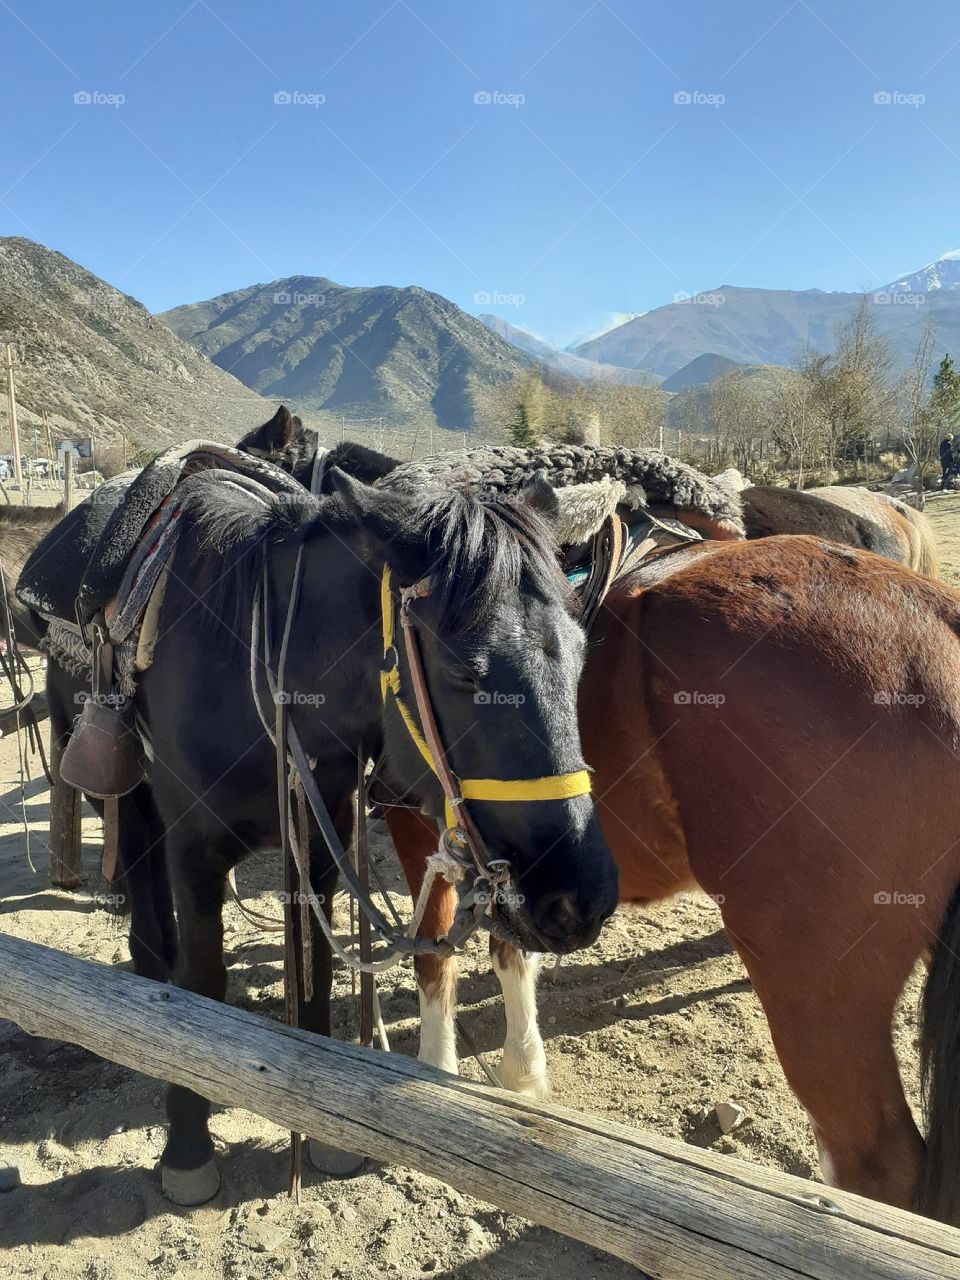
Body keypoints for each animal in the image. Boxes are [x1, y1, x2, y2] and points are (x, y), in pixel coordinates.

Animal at [35, 455, 616, 1203]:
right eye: (464, 670)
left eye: (580, 651)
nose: (581, 898)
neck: (254, 661)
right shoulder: (194, 851)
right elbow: (202, 978)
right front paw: (187, 1145)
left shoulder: (318, 842)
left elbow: (313, 973)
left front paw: (325, 1138)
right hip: (125, 800)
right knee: (148, 928)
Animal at [386, 535, 960, 1223]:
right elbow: (509, 949)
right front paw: (523, 1074)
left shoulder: (425, 824)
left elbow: (432, 954)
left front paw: (436, 1071)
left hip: (816, 990)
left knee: (877, 1165)